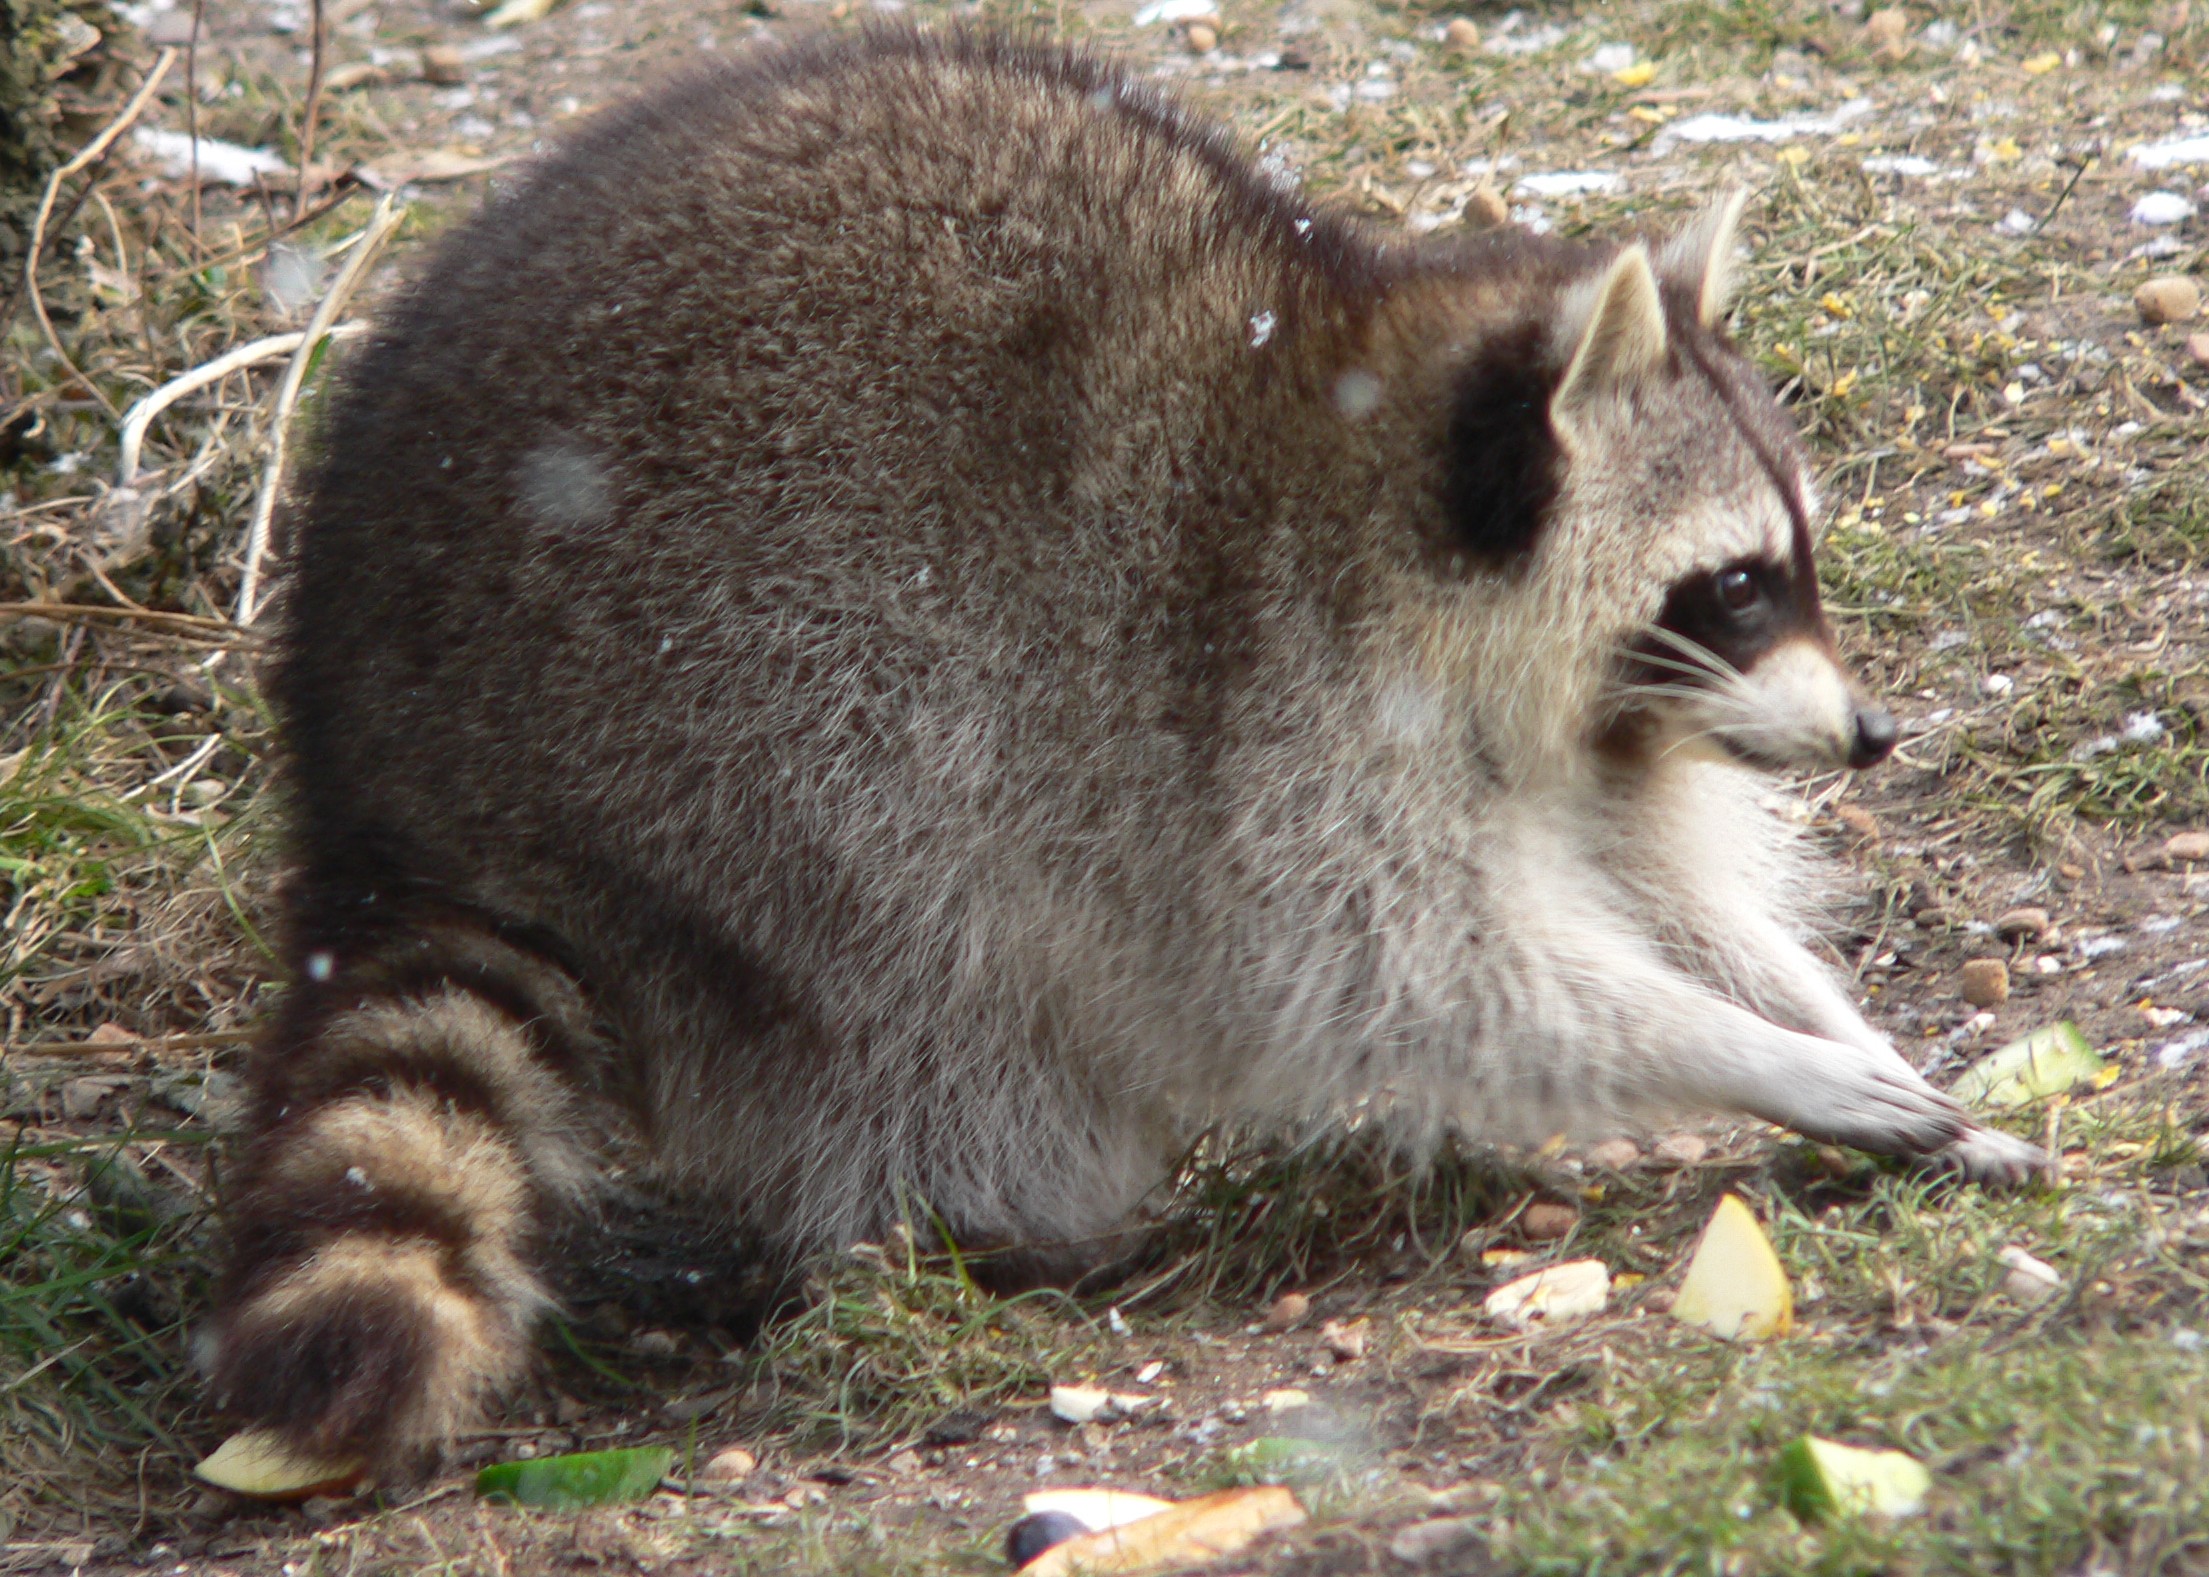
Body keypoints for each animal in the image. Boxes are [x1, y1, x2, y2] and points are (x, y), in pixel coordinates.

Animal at [198, 27, 2041, 1475]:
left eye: (1789, 565)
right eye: (1733, 584)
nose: (1869, 736)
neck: (1380, 460)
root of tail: (380, 772)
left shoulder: (1605, 726)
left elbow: (1665, 888)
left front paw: (1811, 1017)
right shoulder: (1281, 722)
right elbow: (1430, 980)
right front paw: (1759, 1062)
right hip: (724, 733)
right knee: (911, 960)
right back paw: (1011, 1210)